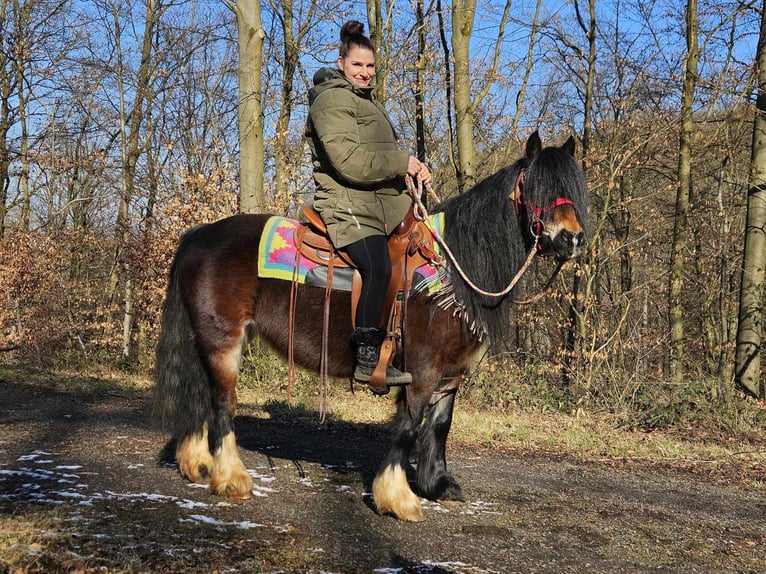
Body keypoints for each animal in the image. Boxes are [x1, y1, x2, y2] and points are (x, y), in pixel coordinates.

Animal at [153, 132, 592, 528]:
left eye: (572, 188)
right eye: (535, 187)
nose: (571, 239)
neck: (453, 272)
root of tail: (200, 234)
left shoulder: (450, 374)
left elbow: (439, 426)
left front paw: (436, 485)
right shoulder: (422, 370)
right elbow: (408, 427)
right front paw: (398, 498)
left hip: (210, 341)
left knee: (202, 397)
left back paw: (197, 464)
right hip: (223, 340)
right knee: (223, 404)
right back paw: (232, 478)